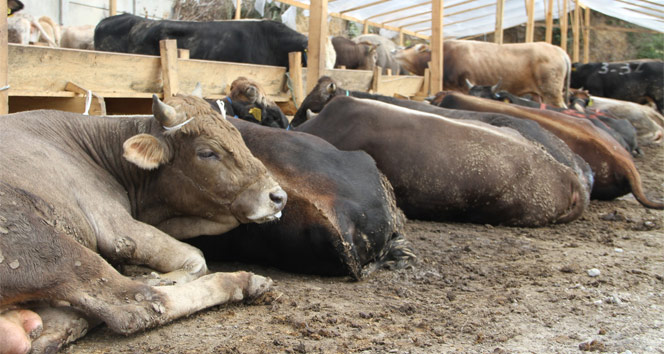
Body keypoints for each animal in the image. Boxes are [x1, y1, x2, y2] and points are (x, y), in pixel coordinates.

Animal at [0, 93, 286, 352]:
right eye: (207, 153)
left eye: (239, 137)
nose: (278, 197)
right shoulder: (115, 225)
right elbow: (195, 258)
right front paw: (161, 277)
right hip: (49, 246)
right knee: (136, 306)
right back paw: (242, 282)